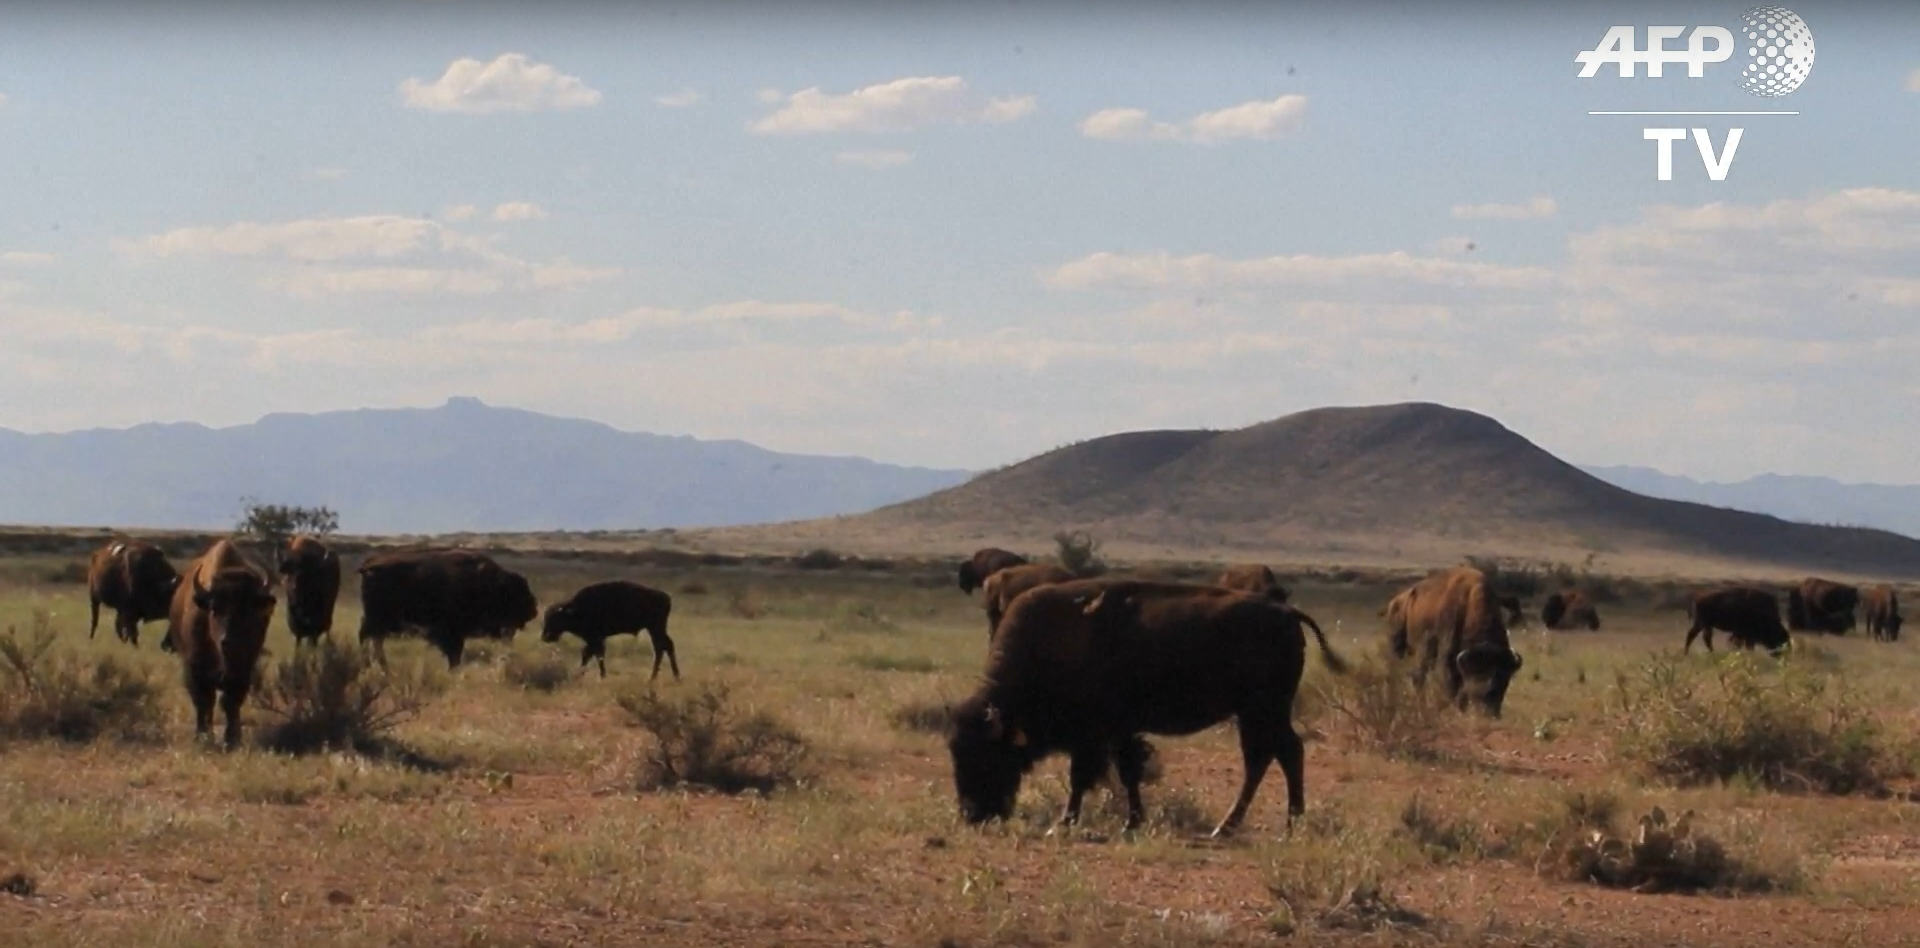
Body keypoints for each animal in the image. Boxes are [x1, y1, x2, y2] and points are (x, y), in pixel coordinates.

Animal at [166, 541, 278, 748]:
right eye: (214, 609)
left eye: (247, 609)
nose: (229, 641)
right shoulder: (194, 669)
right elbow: (203, 701)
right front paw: (203, 737)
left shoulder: (243, 669)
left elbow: (231, 701)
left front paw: (232, 740)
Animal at [357, 545, 541, 671]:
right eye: (517, 592)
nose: (533, 610)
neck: (489, 583)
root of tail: (369, 565)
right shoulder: (451, 633)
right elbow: (454, 653)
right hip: (377, 620)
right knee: (368, 639)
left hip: (379, 622)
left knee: (374, 641)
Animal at [541, 579, 683, 683]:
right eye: (546, 618)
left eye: (555, 619)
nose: (545, 637)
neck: (575, 610)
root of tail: (665, 597)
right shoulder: (596, 640)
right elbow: (593, 654)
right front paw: (586, 674)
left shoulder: (595, 639)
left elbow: (593, 654)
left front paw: (598, 676)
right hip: (656, 629)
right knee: (665, 646)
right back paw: (671, 677)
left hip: (656, 628)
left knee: (662, 647)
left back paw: (656, 678)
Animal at [948, 579, 1351, 836]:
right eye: (956, 753)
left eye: (988, 755)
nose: (972, 813)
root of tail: (1287, 612)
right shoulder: (1117, 732)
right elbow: (1125, 773)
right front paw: (1131, 820)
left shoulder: (1097, 735)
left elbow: (1089, 776)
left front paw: (1066, 822)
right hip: (1253, 714)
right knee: (1264, 758)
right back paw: (1232, 825)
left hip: (1265, 710)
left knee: (1285, 753)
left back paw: (1285, 824)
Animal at [1390, 568, 1520, 713]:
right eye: (1477, 679)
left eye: (1503, 683)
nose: (1489, 712)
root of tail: (1395, 601)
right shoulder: (1448, 660)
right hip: (1398, 645)